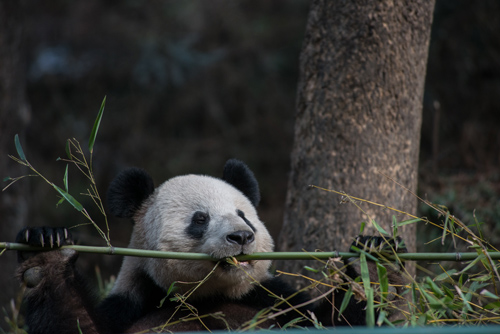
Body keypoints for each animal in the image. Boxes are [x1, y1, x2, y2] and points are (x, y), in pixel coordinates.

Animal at [16, 160, 406, 334]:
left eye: (243, 215)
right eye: (200, 219)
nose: (241, 237)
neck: (209, 295)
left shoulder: (276, 302)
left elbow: (340, 319)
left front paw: (374, 266)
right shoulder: (133, 305)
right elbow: (77, 326)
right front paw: (45, 251)